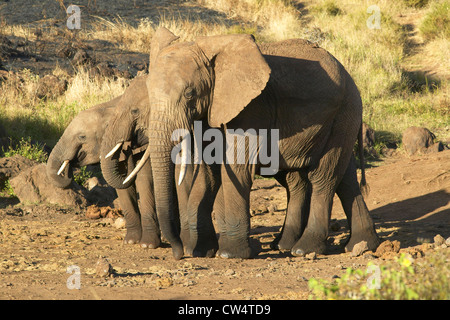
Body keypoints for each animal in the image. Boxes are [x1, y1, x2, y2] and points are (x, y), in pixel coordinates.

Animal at [45, 76, 161, 249]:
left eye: (82, 137)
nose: (68, 171)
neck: (107, 106)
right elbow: (126, 183)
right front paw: (131, 241)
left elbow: (144, 179)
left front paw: (148, 245)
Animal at [119, 26, 380, 260]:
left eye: (190, 94)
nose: (178, 253)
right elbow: (208, 174)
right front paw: (202, 251)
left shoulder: (252, 109)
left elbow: (235, 168)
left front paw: (228, 254)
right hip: (340, 119)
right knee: (340, 178)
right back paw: (356, 245)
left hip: (344, 113)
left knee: (324, 176)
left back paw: (304, 249)